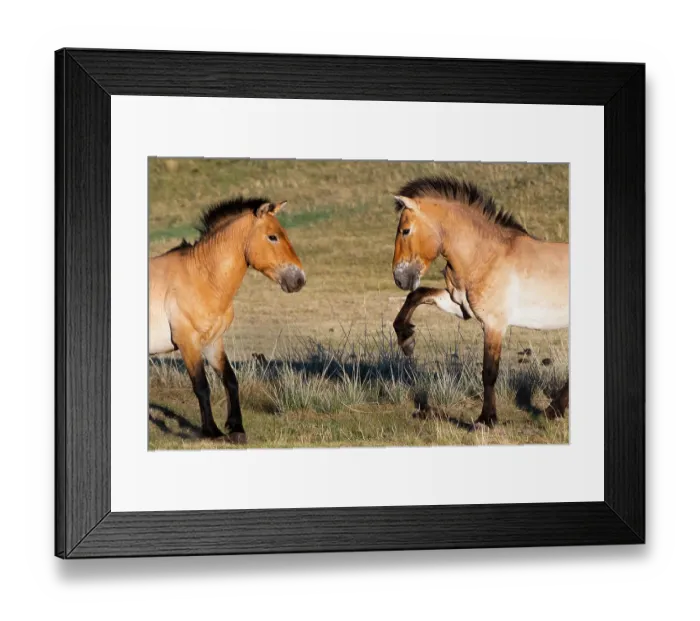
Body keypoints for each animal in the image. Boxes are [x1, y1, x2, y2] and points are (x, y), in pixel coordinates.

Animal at [149, 196, 306, 444]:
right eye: (272, 237)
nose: (299, 279)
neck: (201, 277)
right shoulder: (188, 343)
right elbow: (202, 386)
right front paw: (212, 431)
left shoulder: (213, 343)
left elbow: (230, 380)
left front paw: (236, 428)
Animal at [391, 176, 569, 427]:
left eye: (405, 230)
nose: (399, 278)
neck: (485, 256)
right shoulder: (460, 306)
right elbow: (418, 295)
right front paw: (406, 339)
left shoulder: (494, 324)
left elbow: (489, 372)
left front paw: (486, 419)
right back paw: (552, 411)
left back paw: (552, 410)